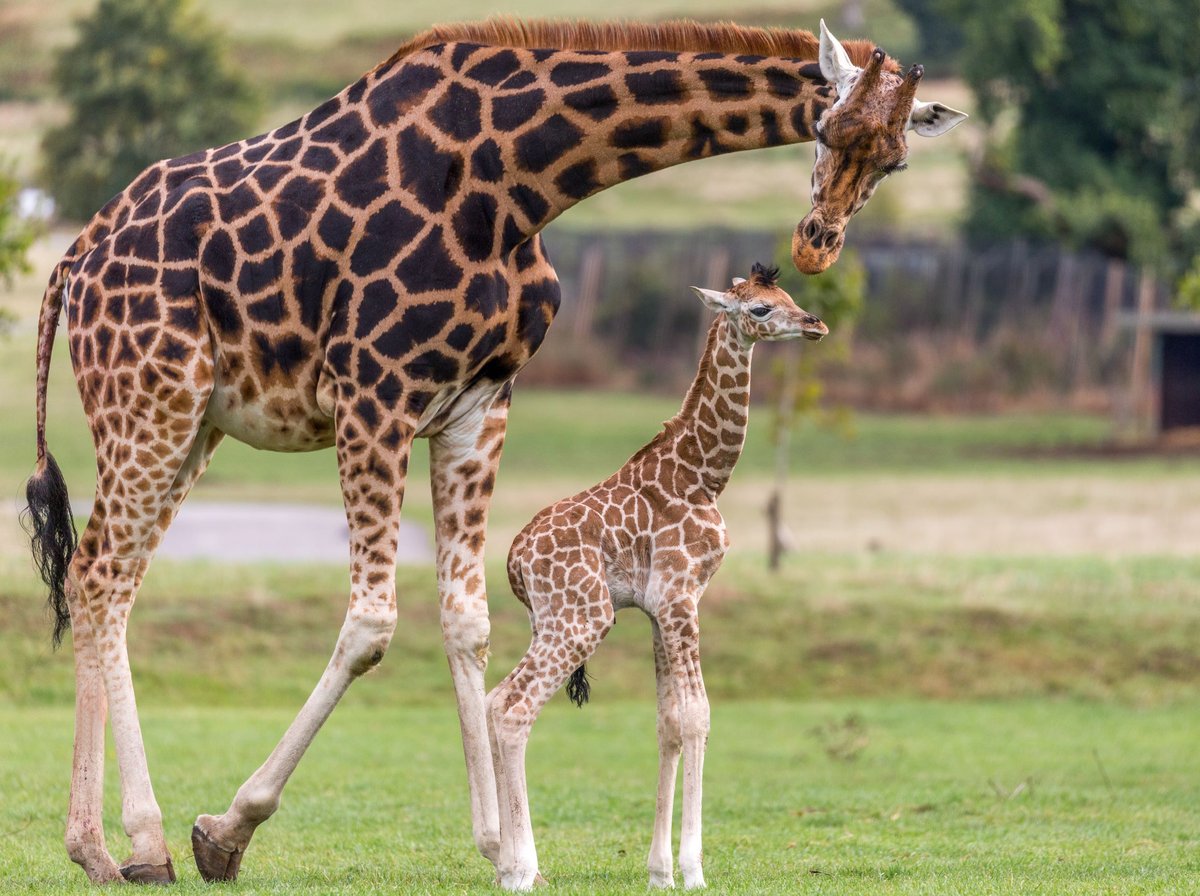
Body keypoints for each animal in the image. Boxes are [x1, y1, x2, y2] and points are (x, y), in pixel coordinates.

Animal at [488, 262, 827, 891]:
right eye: (760, 309)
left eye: (789, 294)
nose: (815, 323)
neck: (702, 476)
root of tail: (514, 563)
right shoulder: (680, 596)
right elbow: (697, 716)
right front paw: (693, 869)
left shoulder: (658, 606)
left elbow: (667, 721)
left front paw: (659, 871)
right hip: (583, 616)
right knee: (512, 707)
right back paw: (521, 870)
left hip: (552, 620)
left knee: (496, 699)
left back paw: (509, 866)